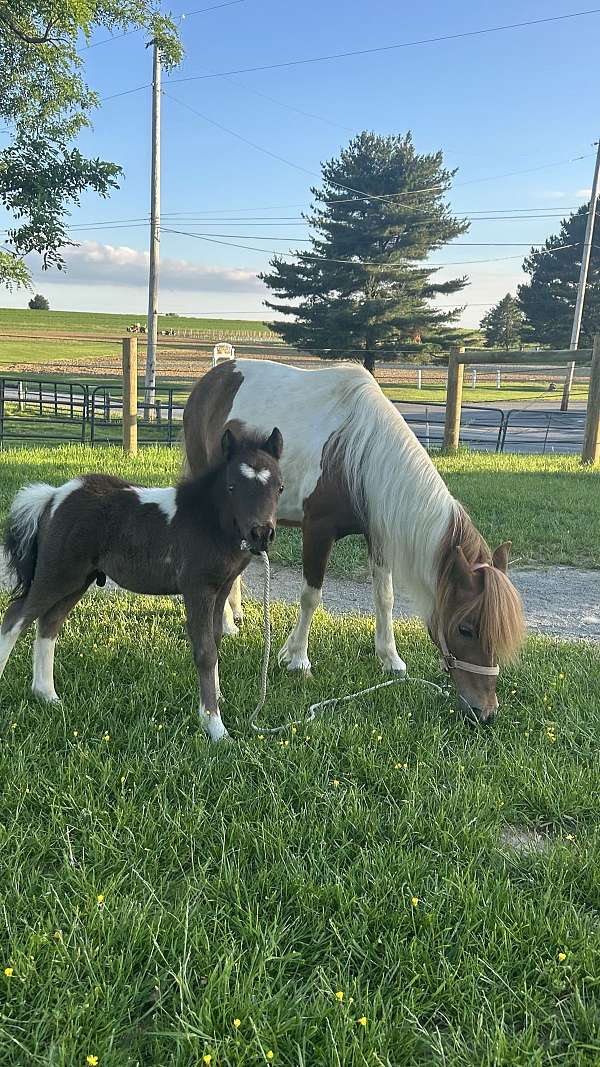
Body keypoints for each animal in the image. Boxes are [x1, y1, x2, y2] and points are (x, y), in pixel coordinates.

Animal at [0, 426, 284, 742]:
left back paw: (47, 695)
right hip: (57, 573)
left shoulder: (220, 589)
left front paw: (218, 699)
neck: (207, 522)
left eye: (280, 488)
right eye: (232, 486)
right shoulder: (197, 589)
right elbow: (205, 651)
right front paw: (215, 726)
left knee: (49, 622)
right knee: (16, 616)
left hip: (78, 580)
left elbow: (216, 640)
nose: (261, 534)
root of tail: (53, 496)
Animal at [183, 359, 525, 724]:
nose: (485, 712)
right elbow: (311, 597)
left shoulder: (378, 535)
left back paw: (234, 614)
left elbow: (385, 598)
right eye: (466, 629)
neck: (357, 455)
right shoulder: (317, 532)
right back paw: (226, 623)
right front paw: (297, 659)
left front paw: (390, 659)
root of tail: (215, 376)